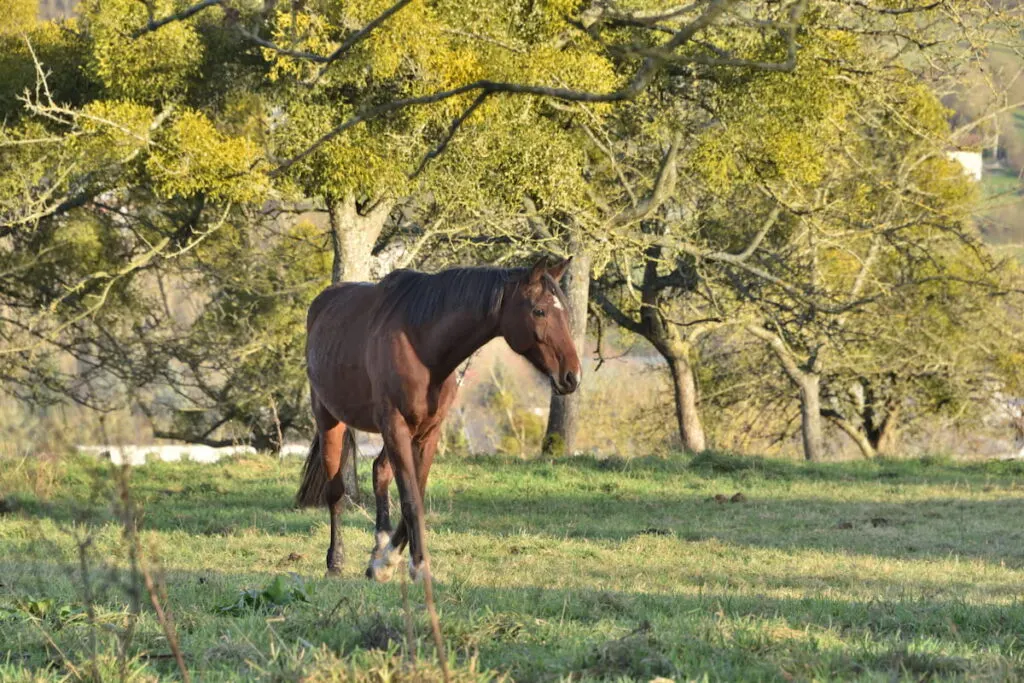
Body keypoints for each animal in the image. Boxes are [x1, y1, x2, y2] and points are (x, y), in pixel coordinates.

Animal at [299, 259, 581, 581]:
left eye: (565, 312)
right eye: (539, 311)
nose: (572, 376)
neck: (421, 346)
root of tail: (323, 301)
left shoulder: (428, 432)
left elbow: (416, 495)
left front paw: (388, 561)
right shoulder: (396, 426)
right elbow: (410, 499)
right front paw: (417, 566)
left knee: (379, 471)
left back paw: (378, 548)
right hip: (330, 419)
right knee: (335, 491)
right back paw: (335, 561)